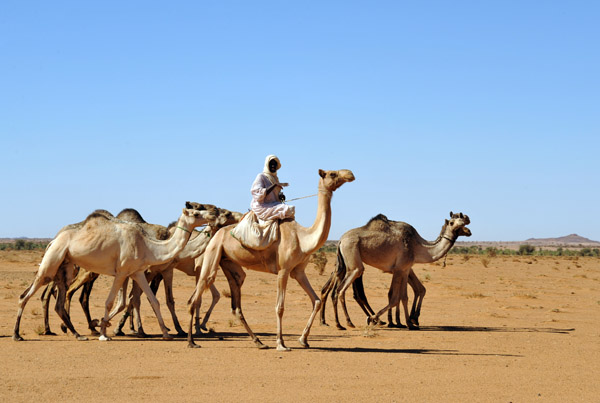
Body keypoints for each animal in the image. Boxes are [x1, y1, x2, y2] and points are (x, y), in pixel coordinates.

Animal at [13, 204, 218, 342]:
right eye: (196, 212)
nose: (213, 214)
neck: (148, 245)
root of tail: (52, 240)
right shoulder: (122, 272)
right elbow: (111, 302)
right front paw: (104, 333)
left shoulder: (137, 272)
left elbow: (153, 301)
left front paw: (167, 334)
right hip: (52, 263)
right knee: (25, 295)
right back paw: (17, 334)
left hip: (66, 267)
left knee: (59, 302)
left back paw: (78, 334)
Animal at [186, 170, 356, 350]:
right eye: (332, 174)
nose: (350, 174)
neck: (303, 238)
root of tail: (217, 233)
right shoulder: (283, 270)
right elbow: (279, 307)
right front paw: (281, 343)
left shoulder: (298, 271)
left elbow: (316, 301)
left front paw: (303, 339)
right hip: (213, 253)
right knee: (197, 294)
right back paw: (191, 341)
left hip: (228, 262)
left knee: (236, 303)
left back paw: (259, 342)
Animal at [322, 213, 472, 330]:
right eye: (452, 222)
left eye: (463, 220)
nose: (468, 228)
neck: (418, 246)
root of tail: (340, 241)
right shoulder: (399, 269)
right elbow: (394, 298)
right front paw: (374, 319)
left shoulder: (404, 269)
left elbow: (404, 297)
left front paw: (407, 323)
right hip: (353, 260)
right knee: (341, 290)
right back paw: (347, 323)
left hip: (345, 263)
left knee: (338, 291)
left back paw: (339, 323)